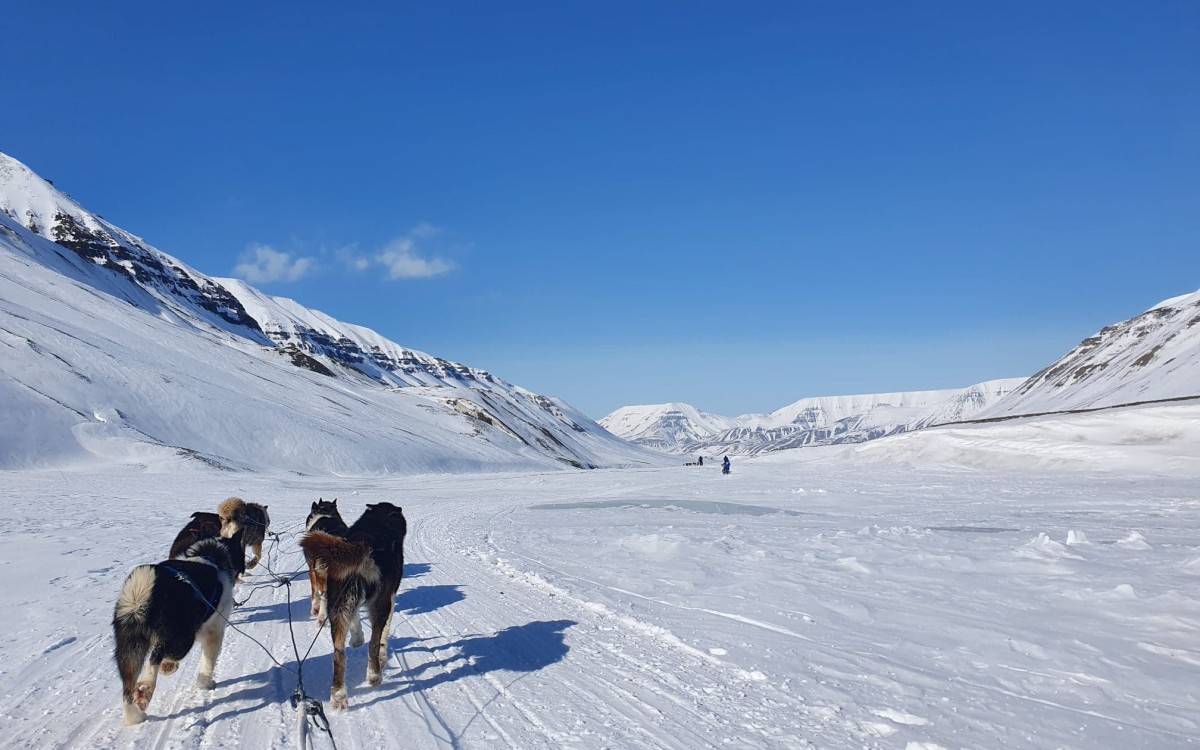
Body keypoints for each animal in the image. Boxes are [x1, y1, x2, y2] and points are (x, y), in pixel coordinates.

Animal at [113, 530, 244, 724]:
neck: (212, 557)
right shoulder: (214, 632)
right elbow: (207, 664)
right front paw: (205, 684)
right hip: (183, 638)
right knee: (156, 657)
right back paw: (148, 684)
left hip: (130, 648)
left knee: (128, 688)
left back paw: (135, 715)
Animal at [300, 504, 408, 705]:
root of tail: (364, 544)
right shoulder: (390, 597)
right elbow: (383, 635)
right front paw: (382, 656)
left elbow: (355, 621)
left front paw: (357, 638)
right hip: (379, 604)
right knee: (374, 644)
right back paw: (374, 675)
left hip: (338, 606)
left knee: (338, 654)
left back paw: (338, 696)